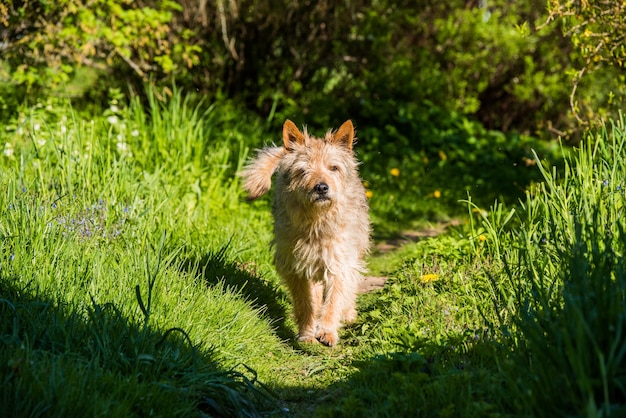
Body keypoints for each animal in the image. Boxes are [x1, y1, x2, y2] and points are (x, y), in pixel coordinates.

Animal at [238, 118, 366, 346]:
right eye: (303, 170)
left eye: (333, 168)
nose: (321, 187)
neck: (315, 222)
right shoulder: (295, 267)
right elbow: (306, 302)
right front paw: (307, 333)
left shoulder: (340, 262)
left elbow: (334, 299)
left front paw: (327, 331)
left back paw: (348, 313)